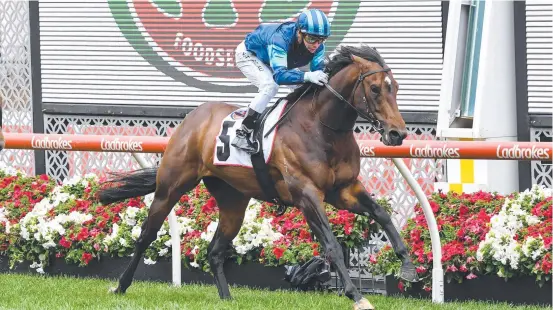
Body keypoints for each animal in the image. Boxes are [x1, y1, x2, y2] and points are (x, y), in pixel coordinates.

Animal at [99, 45, 416, 310]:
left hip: (233, 200)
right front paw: (357, 296)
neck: (321, 128)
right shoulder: (307, 194)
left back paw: (227, 298)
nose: (397, 133)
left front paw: (408, 267)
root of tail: (194, 117)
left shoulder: (345, 190)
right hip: (171, 186)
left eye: (396, 88)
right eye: (374, 89)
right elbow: (332, 245)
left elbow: (382, 215)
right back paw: (121, 286)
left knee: (214, 251)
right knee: (146, 235)